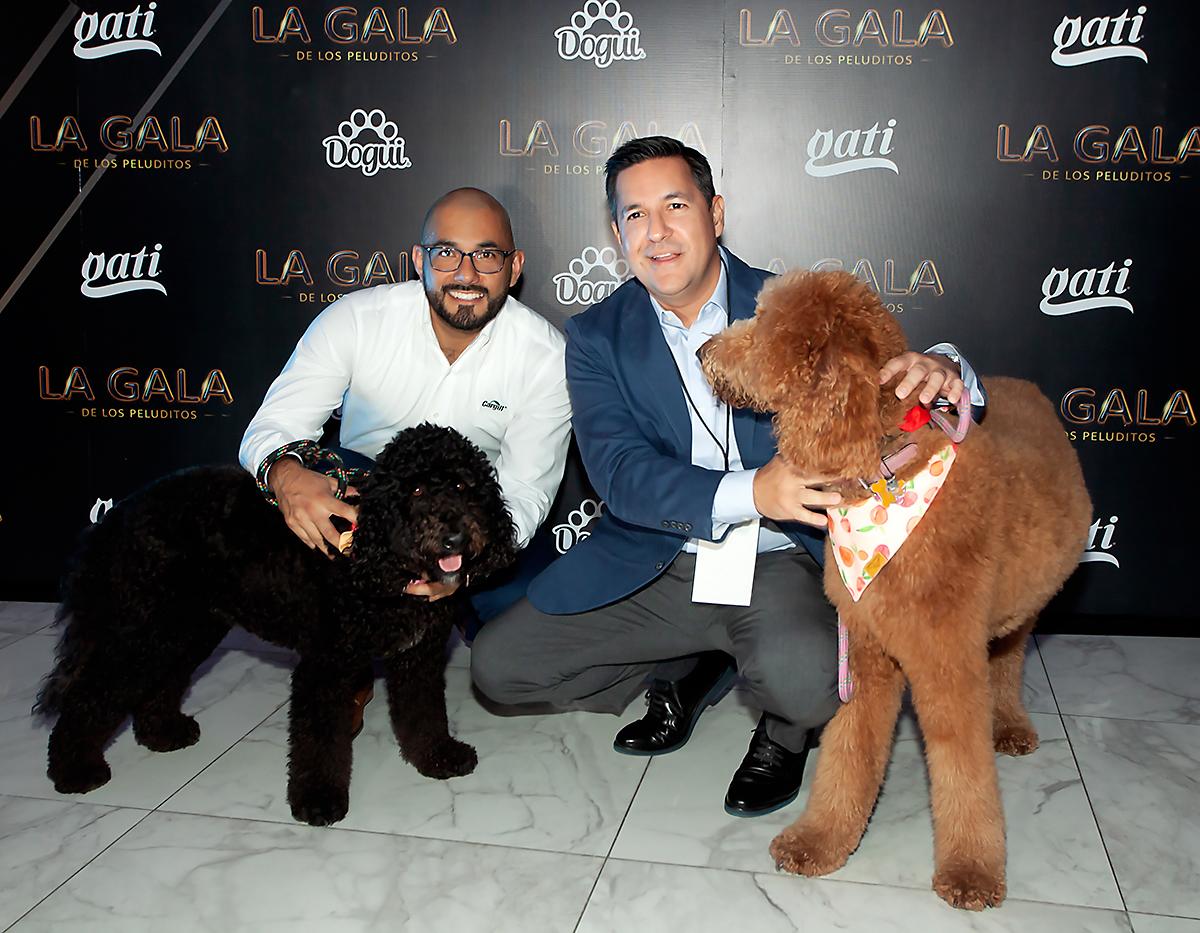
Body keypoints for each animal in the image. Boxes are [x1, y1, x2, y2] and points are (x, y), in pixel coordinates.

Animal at [36, 422, 516, 820]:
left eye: (462, 484)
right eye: (415, 491)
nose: (454, 535)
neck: (375, 554)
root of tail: (114, 514)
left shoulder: (418, 656)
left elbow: (424, 713)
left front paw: (437, 757)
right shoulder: (325, 665)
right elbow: (318, 738)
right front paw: (318, 800)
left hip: (184, 629)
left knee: (159, 682)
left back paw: (163, 733)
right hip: (144, 629)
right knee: (90, 694)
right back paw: (74, 769)